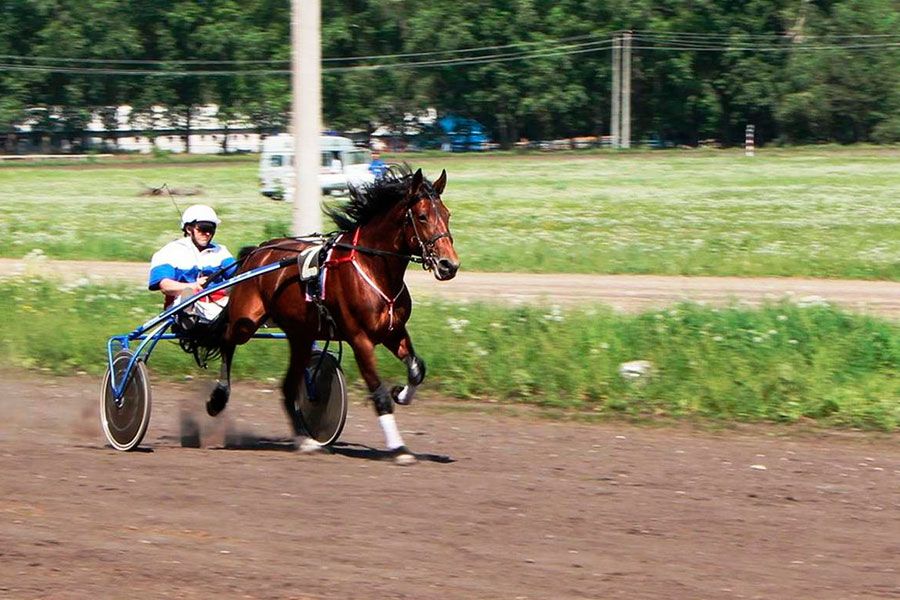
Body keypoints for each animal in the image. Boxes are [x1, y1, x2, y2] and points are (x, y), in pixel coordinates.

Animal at [206, 166, 458, 466]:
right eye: (422, 216)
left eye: (447, 214)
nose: (449, 265)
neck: (373, 267)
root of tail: (256, 251)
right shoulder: (360, 339)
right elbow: (379, 394)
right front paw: (400, 448)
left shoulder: (394, 332)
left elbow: (417, 369)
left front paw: (402, 393)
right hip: (246, 321)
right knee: (225, 340)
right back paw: (217, 398)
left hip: (301, 336)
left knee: (287, 387)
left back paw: (306, 440)